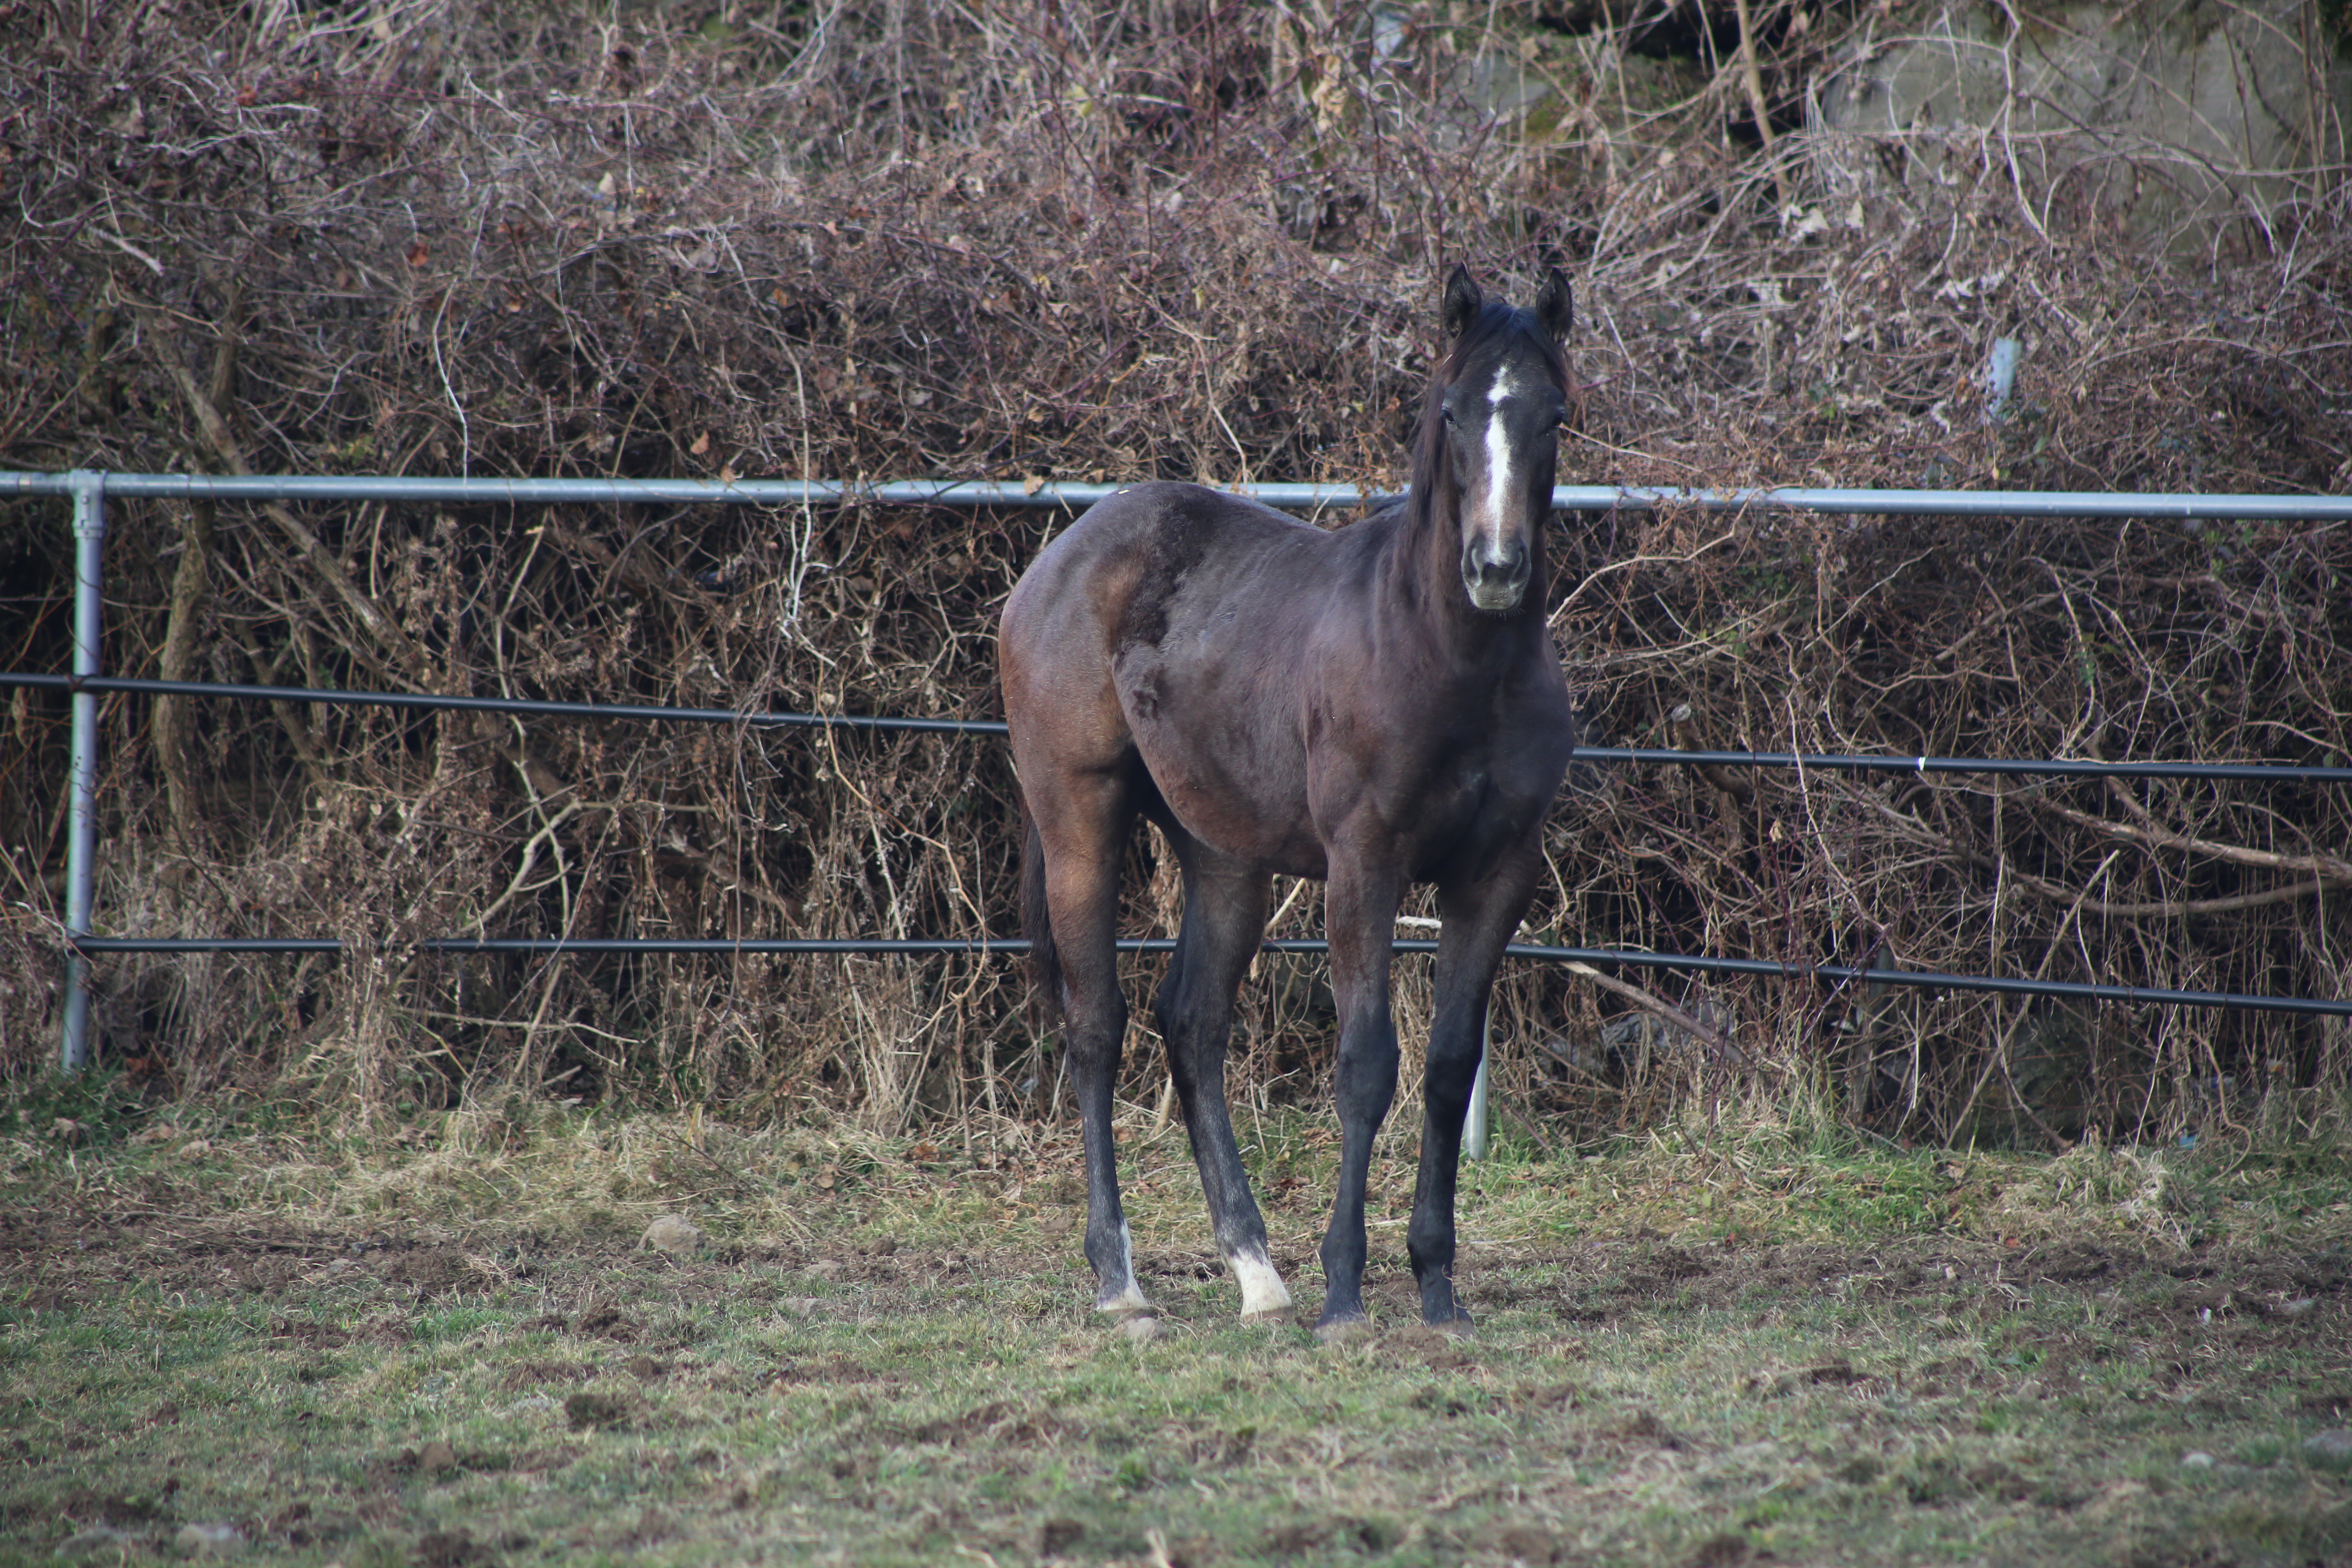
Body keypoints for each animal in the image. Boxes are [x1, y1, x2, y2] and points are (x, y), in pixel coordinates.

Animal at [997, 267, 1580, 1335]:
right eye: (1450, 410)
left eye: (1551, 415)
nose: (1494, 567)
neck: (1451, 660)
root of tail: (1059, 559)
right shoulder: (1365, 863)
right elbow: (1365, 1064)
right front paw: (1345, 1291)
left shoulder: (1497, 872)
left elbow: (1446, 1066)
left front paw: (1437, 1286)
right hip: (1078, 819)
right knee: (1095, 1027)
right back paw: (1120, 1282)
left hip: (1222, 852)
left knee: (1192, 1026)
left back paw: (1257, 1274)